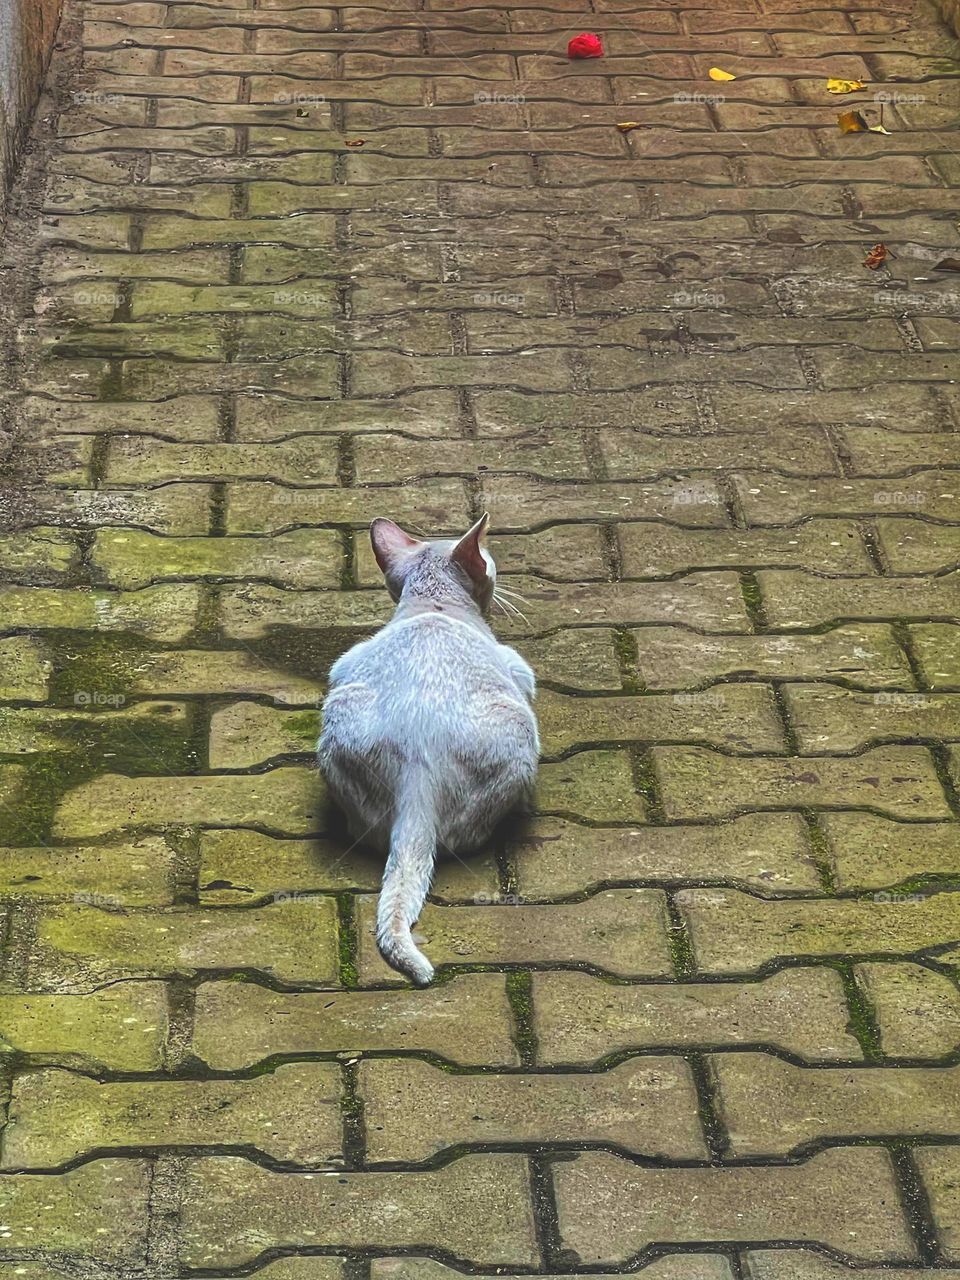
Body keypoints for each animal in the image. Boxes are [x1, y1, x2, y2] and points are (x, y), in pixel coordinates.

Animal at [317, 514, 537, 983]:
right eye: (490, 560)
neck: (432, 603)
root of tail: (416, 780)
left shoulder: (345, 662)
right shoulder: (518, 669)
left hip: (339, 712)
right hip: (520, 728)